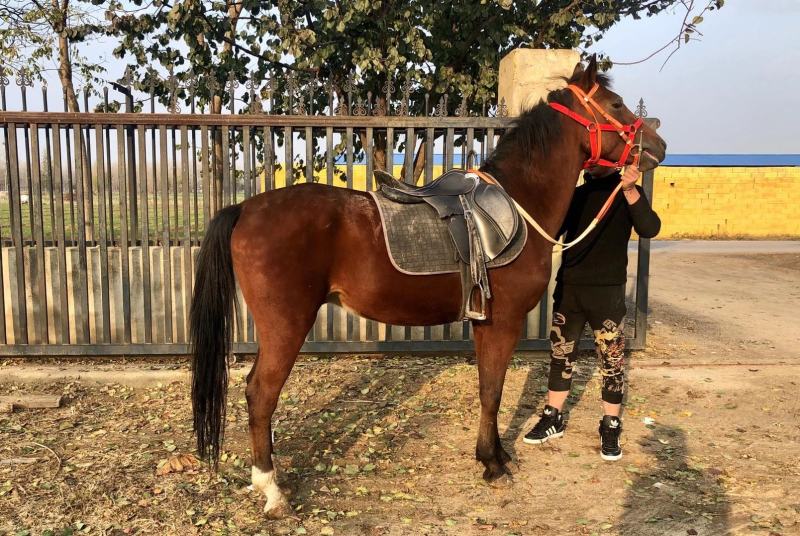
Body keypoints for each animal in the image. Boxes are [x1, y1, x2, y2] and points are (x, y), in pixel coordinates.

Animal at [189, 56, 667, 518]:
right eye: (617, 104)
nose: (659, 146)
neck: (519, 205)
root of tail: (245, 208)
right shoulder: (503, 322)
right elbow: (492, 391)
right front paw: (492, 464)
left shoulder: (485, 323)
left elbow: (488, 388)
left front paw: (494, 456)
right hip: (286, 326)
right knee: (260, 394)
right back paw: (272, 492)